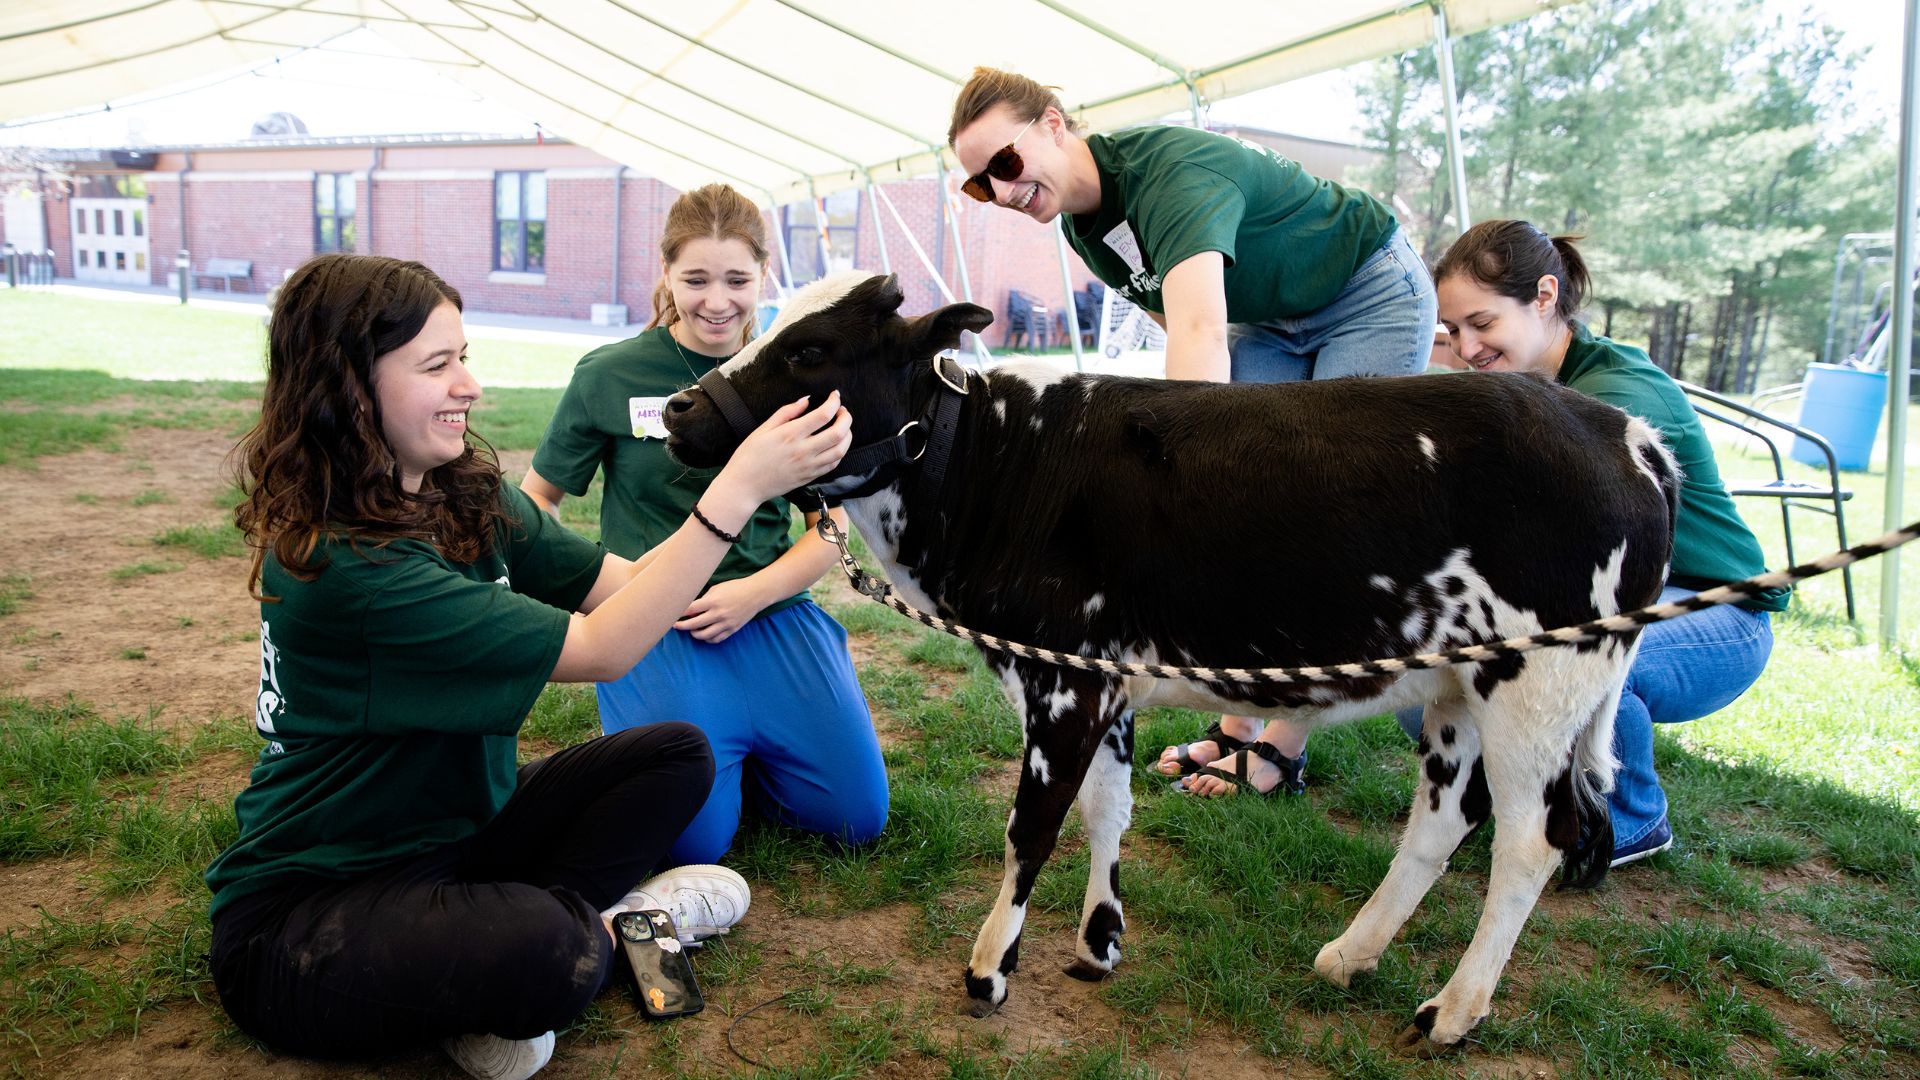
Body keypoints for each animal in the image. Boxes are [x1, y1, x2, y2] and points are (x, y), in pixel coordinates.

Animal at [664, 270, 1681, 1053]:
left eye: (811, 351)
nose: (677, 407)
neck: (1000, 465)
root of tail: (1628, 436)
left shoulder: (1064, 678)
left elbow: (1032, 825)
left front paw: (991, 968)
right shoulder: (1106, 682)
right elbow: (1108, 810)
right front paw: (1098, 941)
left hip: (1539, 685)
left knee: (1530, 842)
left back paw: (1454, 1012)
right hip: (1461, 689)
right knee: (1441, 823)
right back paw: (1349, 958)